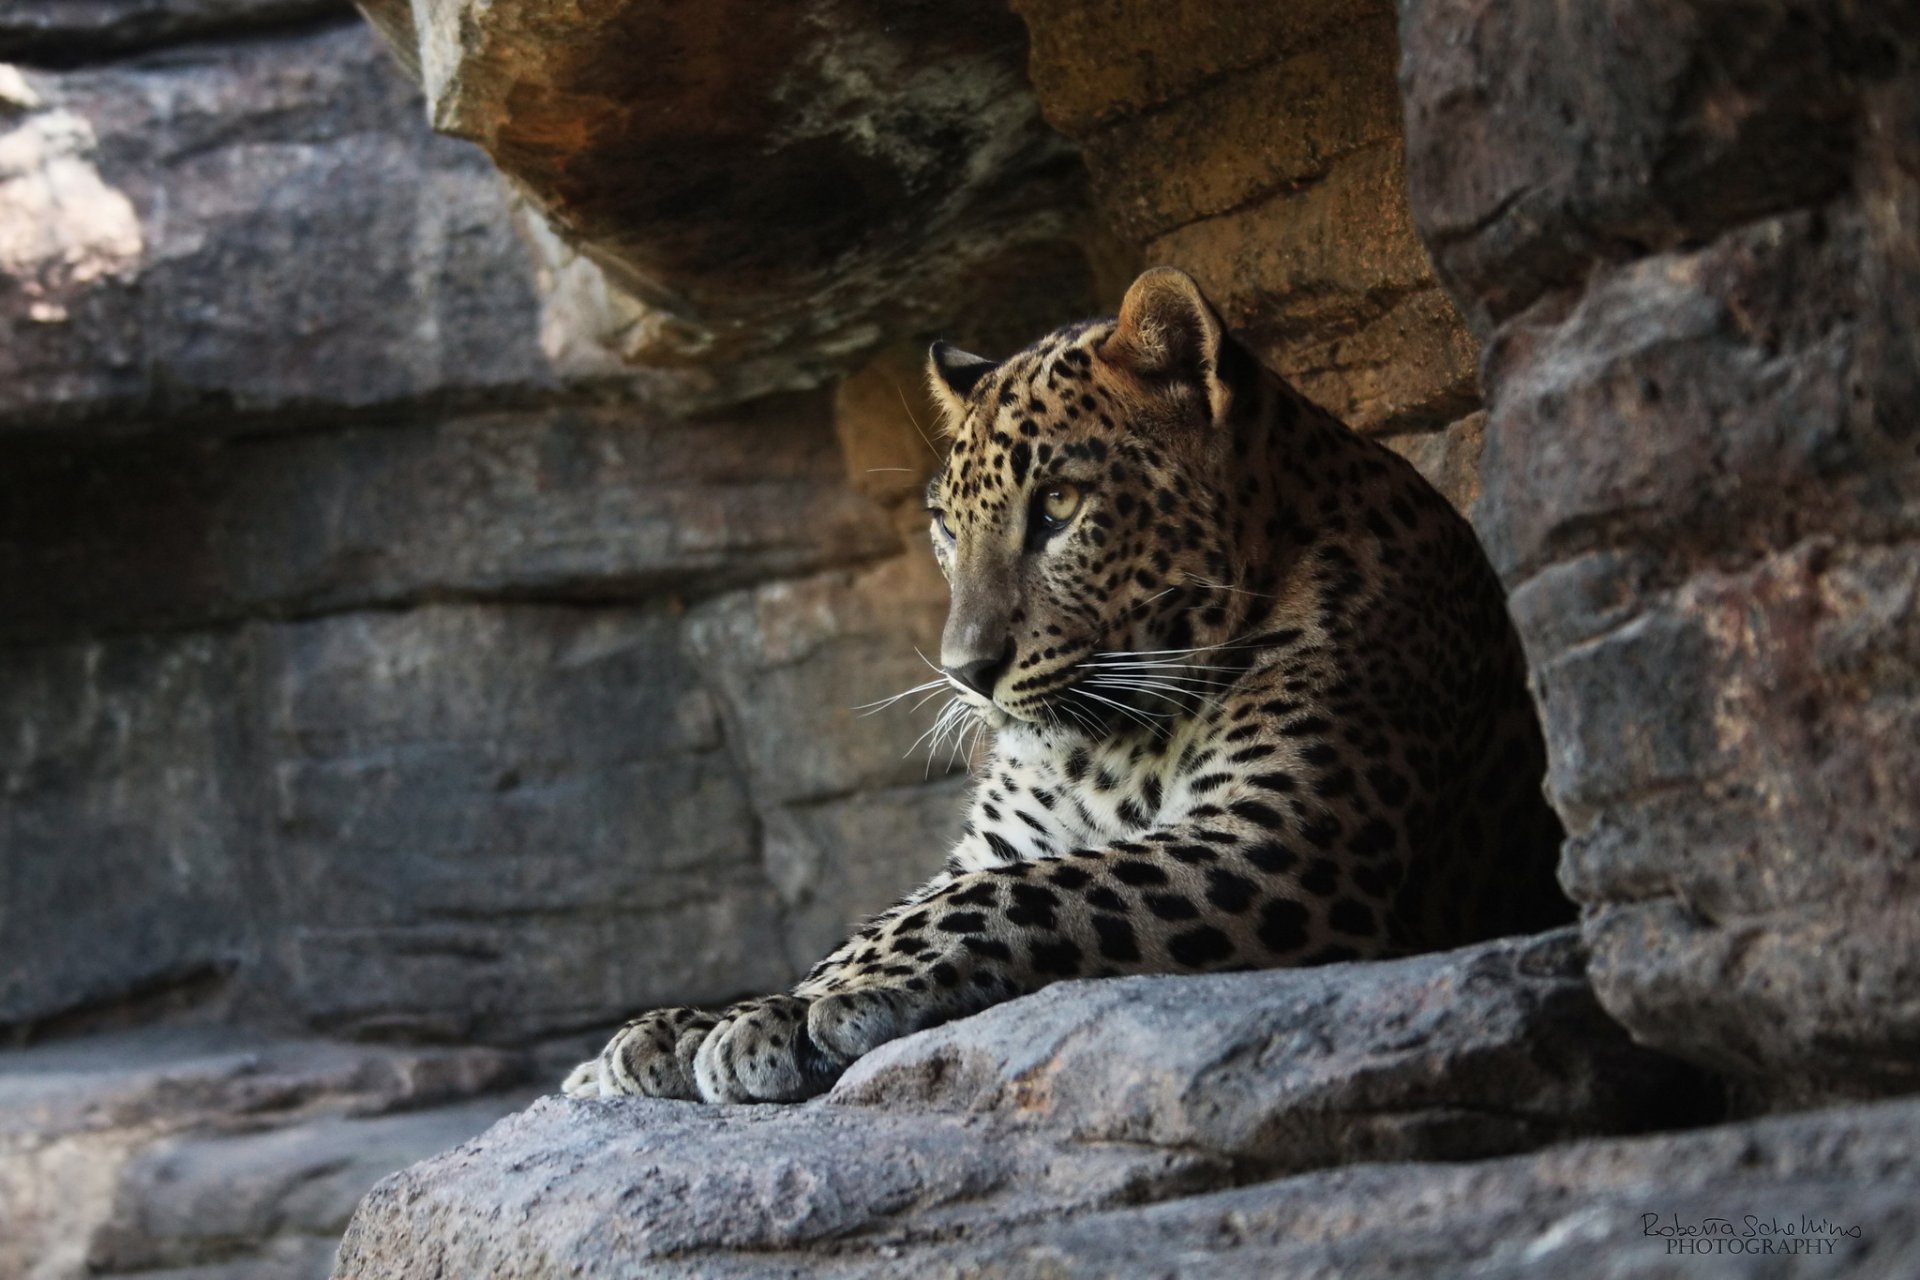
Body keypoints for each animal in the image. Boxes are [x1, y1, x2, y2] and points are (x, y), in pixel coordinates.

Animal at [563, 267, 1571, 1104]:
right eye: (946, 525)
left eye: (1058, 507)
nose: (966, 674)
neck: (1111, 746)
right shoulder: (1000, 842)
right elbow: (902, 907)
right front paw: (696, 1022)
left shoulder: (1281, 839)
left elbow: (1010, 894)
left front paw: (800, 1009)